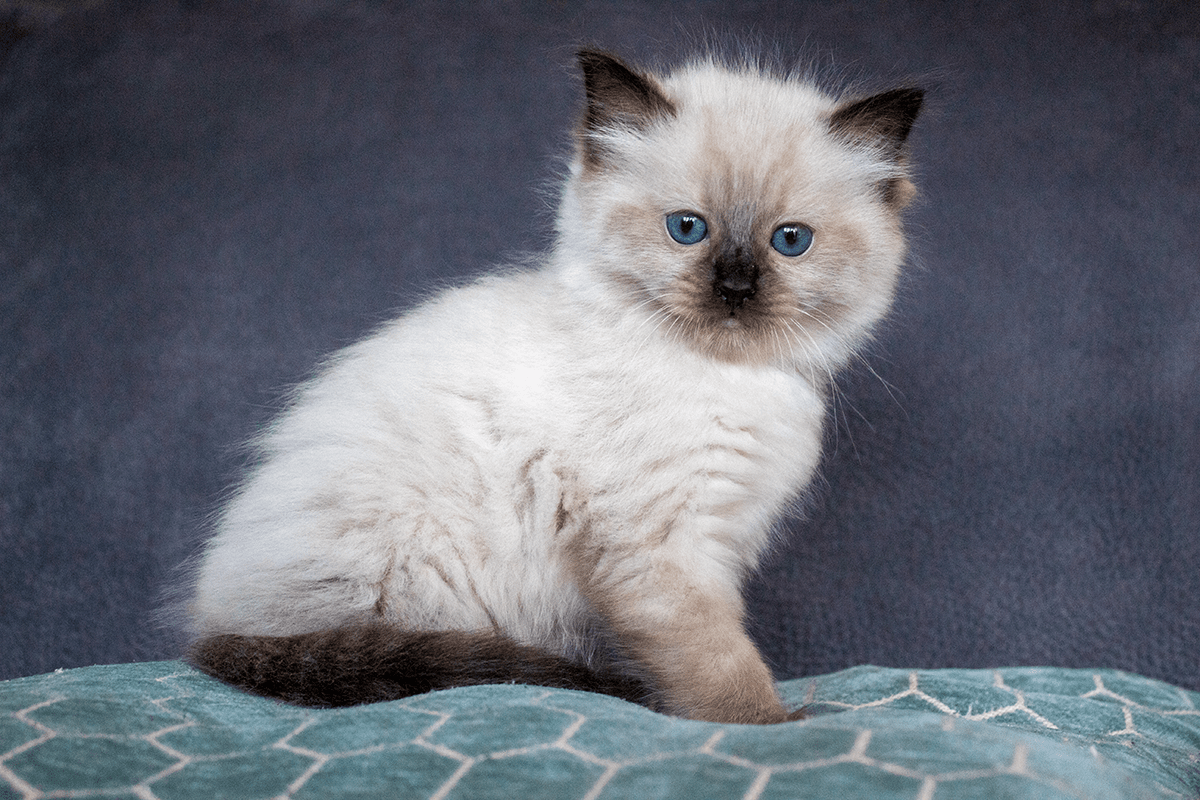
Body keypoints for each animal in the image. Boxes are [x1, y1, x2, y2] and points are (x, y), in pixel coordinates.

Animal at [187, 48, 921, 724]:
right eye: (687, 229)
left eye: (790, 241)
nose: (736, 289)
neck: (719, 376)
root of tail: (207, 629)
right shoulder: (663, 550)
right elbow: (720, 666)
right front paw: (772, 727)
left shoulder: (716, 538)